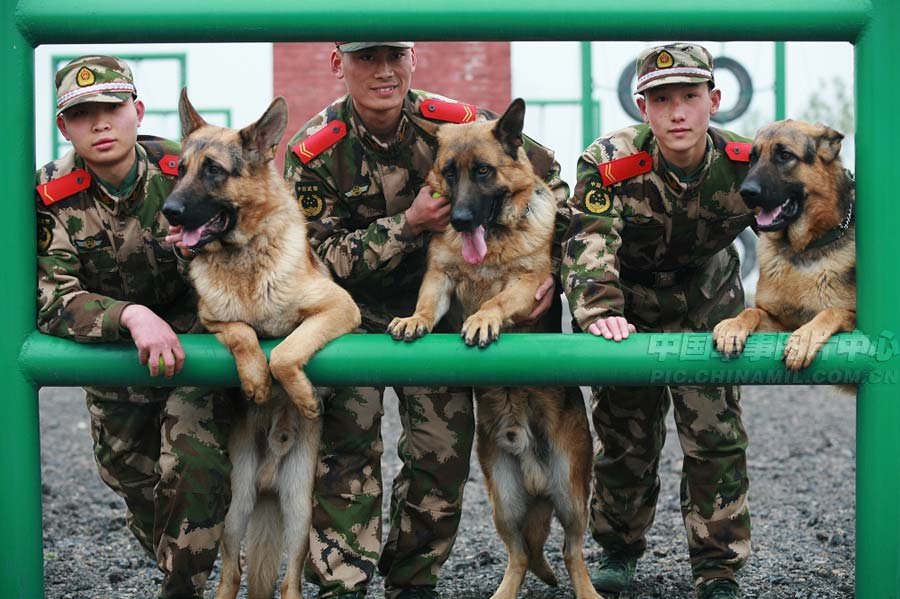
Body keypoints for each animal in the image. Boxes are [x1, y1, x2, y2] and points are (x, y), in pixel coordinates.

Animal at [163, 90, 360, 599]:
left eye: (213, 170)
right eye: (179, 169)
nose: (169, 212)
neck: (245, 258)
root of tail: (270, 478)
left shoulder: (339, 308)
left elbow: (287, 350)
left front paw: (302, 395)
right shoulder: (211, 320)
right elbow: (243, 333)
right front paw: (254, 379)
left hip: (299, 512)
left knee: (290, 582)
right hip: (235, 510)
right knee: (231, 575)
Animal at [390, 99, 600, 599]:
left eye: (483, 171)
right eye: (450, 173)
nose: (461, 221)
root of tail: (534, 473)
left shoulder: (524, 284)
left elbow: (498, 301)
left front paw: (483, 320)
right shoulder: (440, 278)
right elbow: (426, 302)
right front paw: (414, 320)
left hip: (572, 496)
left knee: (572, 551)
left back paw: (588, 589)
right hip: (503, 502)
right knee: (521, 554)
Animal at [712, 119, 856, 372]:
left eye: (785, 155)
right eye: (753, 157)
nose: (746, 192)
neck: (802, 249)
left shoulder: (854, 320)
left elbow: (831, 311)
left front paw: (804, 339)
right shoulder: (777, 323)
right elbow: (752, 311)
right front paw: (733, 326)